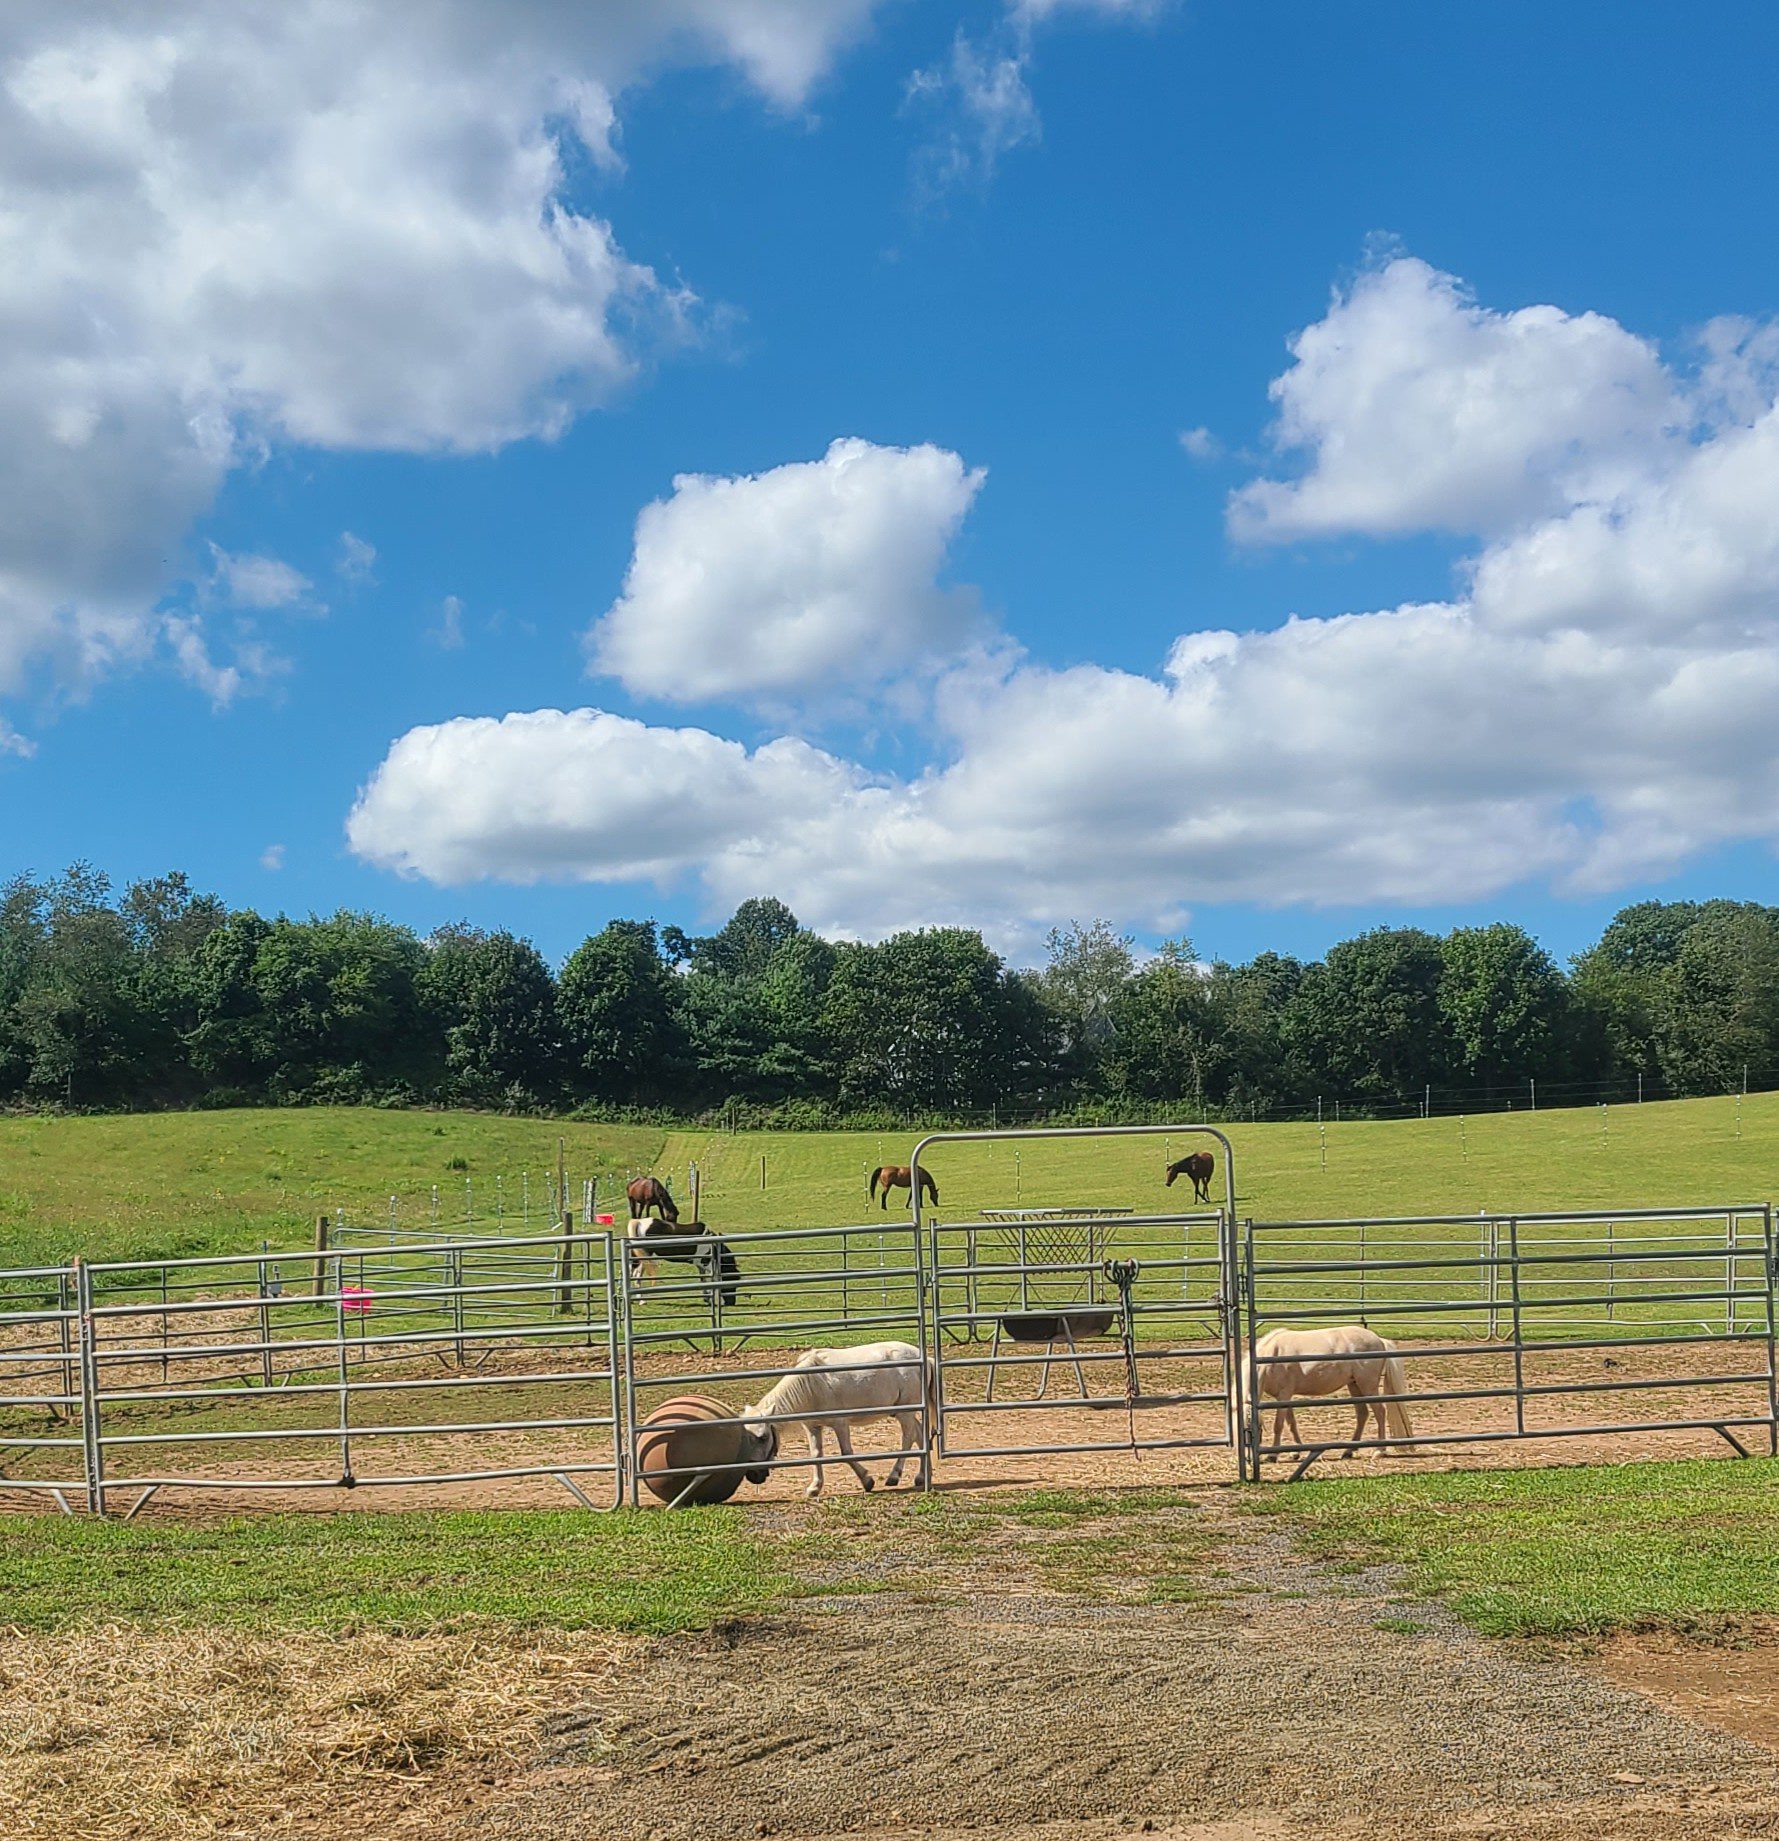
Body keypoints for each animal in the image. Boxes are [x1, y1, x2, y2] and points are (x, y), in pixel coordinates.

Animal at [740, 1347, 939, 1502]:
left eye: (763, 1437)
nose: (753, 1475)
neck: (813, 1384)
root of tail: (924, 1358)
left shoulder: (840, 1424)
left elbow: (846, 1453)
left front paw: (867, 1481)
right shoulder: (812, 1427)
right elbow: (816, 1455)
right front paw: (814, 1487)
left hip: (906, 1413)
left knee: (908, 1439)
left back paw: (894, 1476)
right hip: (904, 1412)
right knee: (920, 1435)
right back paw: (922, 1476)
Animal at [1237, 1332, 1421, 1458]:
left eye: (1252, 1428)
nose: (1248, 1457)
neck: (1270, 1358)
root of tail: (1380, 1340)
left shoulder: (1283, 1396)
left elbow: (1279, 1425)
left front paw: (1273, 1455)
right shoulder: (1284, 1397)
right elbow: (1291, 1423)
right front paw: (1295, 1452)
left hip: (1367, 1386)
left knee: (1380, 1412)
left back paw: (1379, 1450)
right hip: (1354, 1385)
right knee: (1362, 1414)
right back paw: (1348, 1450)